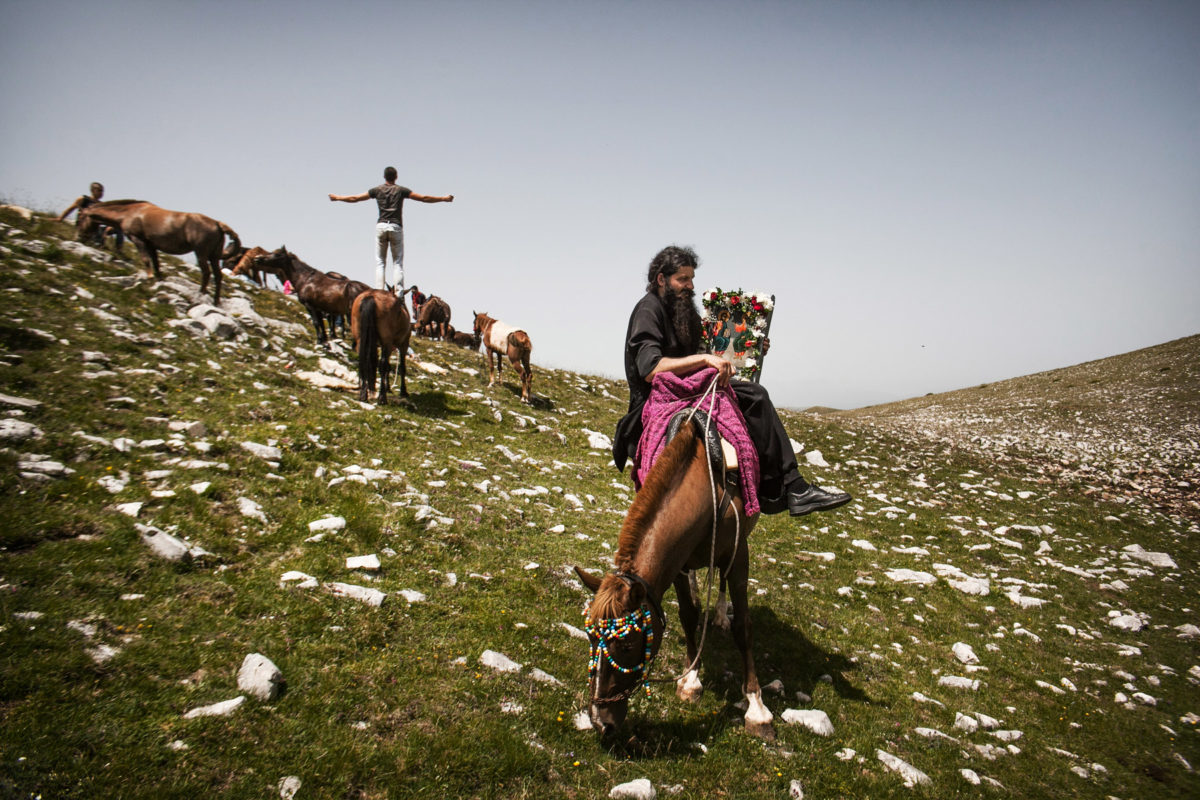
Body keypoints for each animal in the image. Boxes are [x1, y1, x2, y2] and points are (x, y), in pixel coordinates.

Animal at [77, 199, 238, 303]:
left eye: (80, 217)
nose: (80, 237)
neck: (130, 212)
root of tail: (218, 224)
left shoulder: (138, 239)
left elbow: (145, 259)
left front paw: (149, 278)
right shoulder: (151, 245)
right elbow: (156, 263)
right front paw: (158, 279)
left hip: (201, 253)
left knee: (206, 273)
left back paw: (200, 294)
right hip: (214, 256)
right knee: (217, 276)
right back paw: (216, 301)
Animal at [238, 244, 369, 345]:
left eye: (277, 254)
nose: (257, 258)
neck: (305, 279)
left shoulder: (309, 305)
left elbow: (316, 323)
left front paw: (320, 341)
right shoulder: (318, 308)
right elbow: (321, 324)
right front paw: (324, 340)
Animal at [576, 412, 772, 743]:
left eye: (627, 645)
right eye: (590, 636)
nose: (601, 723)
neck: (705, 486)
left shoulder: (738, 556)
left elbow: (743, 628)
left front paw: (757, 709)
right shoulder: (679, 563)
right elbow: (688, 615)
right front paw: (690, 679)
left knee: (721, 585)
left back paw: (721, 614)